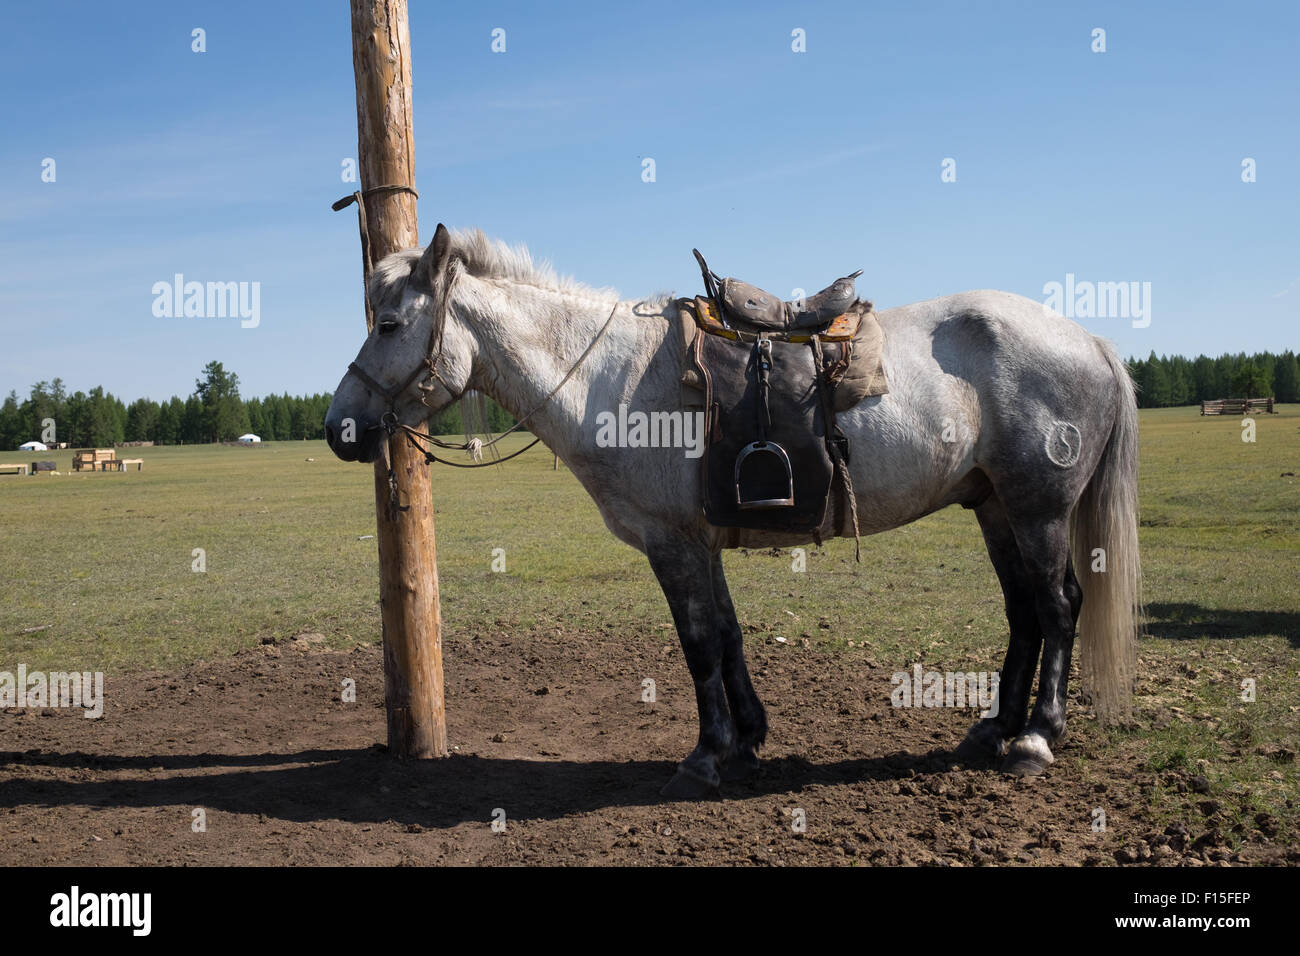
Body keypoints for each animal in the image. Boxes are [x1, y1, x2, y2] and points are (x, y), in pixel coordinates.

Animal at [325, 223, 1138, 801]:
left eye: (390, 324)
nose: (340, 428)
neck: (606, 376)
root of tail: (1090, 340)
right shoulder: (702, 543)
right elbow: (729, 636)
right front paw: (748, 739)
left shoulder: (674, 544)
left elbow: (698, 645)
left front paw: (706, 755)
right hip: (996, 507)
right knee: (1025, 612)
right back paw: (995, 728)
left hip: (1037, 509)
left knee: (1058, 606)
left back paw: (1036, 737)